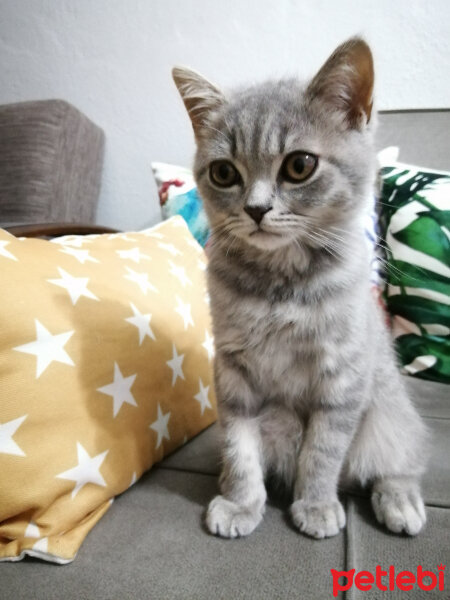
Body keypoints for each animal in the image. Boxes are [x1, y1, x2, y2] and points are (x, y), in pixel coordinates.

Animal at [171, 36, 426, 540]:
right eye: (224, 173)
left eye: (300, 165)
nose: (255, 209)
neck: (280, 285)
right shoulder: (233, 372)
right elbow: (240, 447)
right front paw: (241, 502)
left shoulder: (342, 377)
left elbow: (323, 451)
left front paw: (316, 504)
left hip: (389, 416)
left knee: (398, 458)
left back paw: (400, 499)